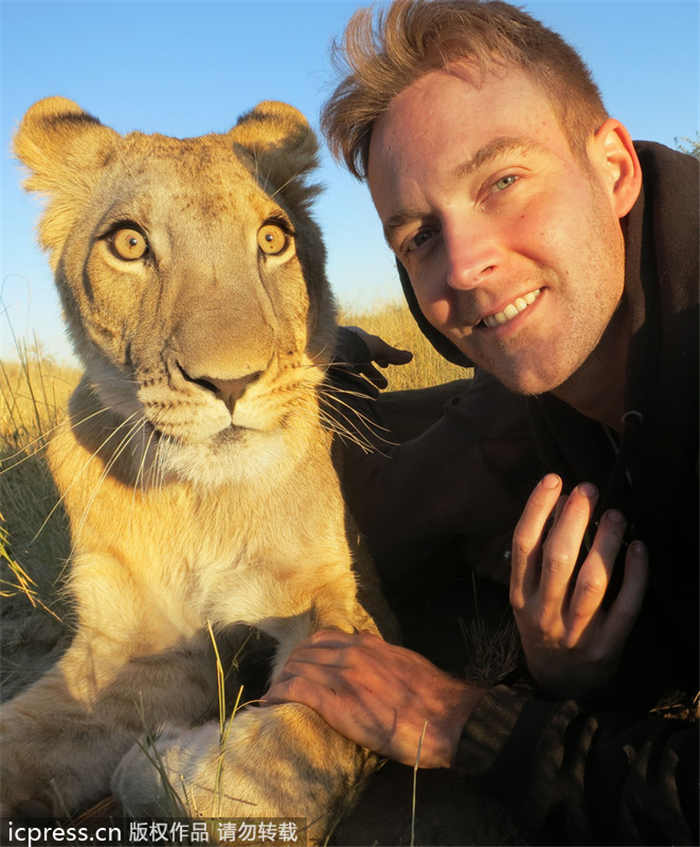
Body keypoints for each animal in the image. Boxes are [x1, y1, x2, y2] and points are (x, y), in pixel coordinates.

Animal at [2, 96, 396, 840]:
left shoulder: (334, 598)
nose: (231, 381)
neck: (201, 502)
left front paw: (159, 765)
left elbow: (293, 751)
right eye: (129, 244)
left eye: (273, 239)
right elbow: (24, 736)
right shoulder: (136, 646)